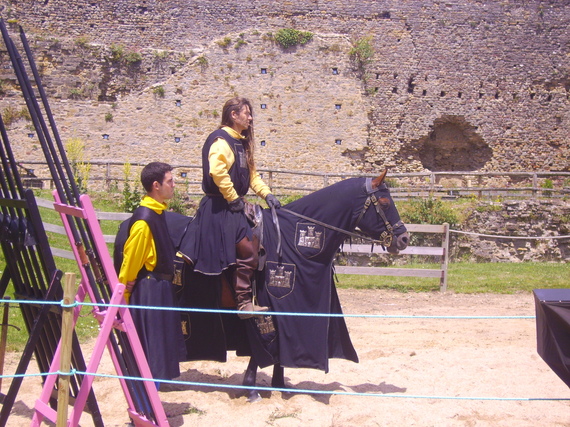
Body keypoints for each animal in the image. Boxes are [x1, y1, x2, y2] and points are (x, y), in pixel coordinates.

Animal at [171, 171, 406, 402]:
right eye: (385, 203)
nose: (404, 238)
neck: (292, 240)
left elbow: (279, 353)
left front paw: (280, 385)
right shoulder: (271, 307)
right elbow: (266, 347)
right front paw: (251, 388)